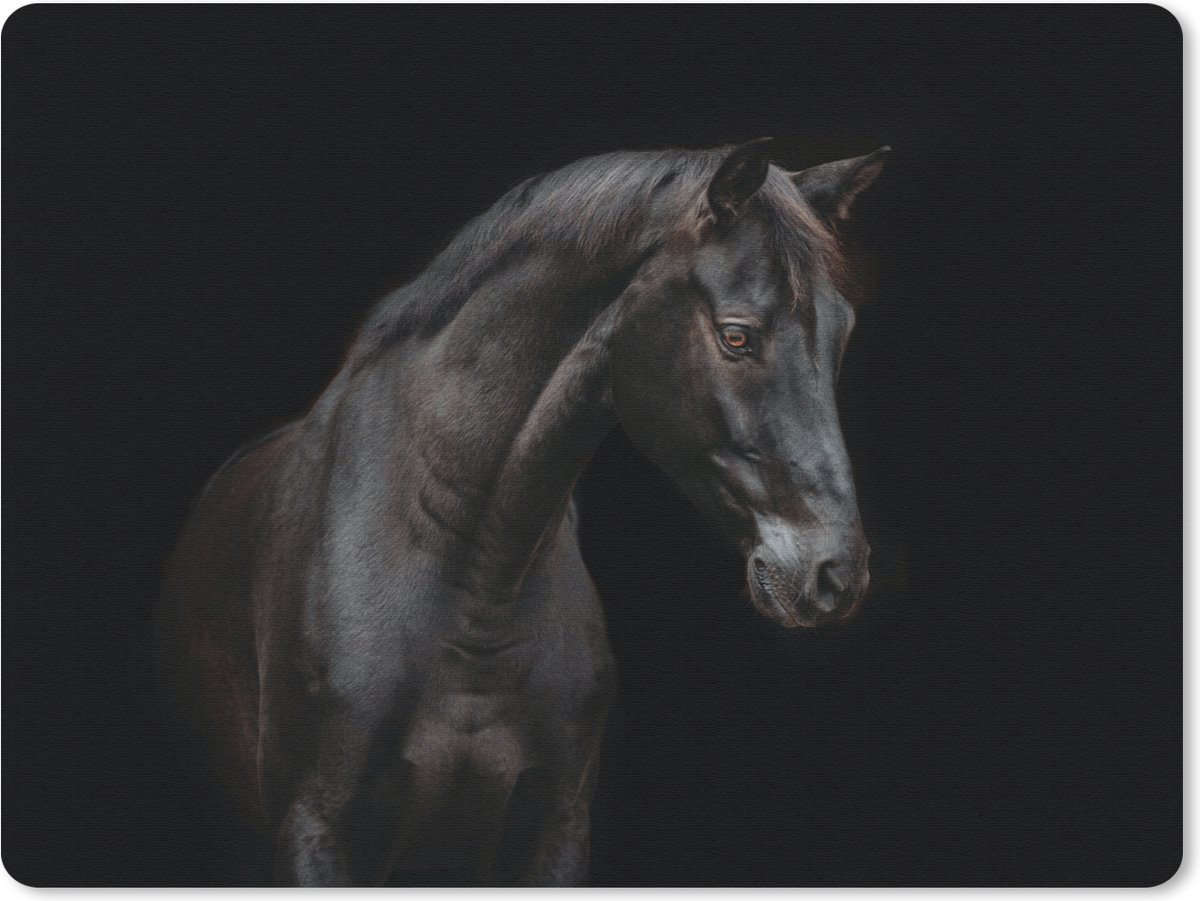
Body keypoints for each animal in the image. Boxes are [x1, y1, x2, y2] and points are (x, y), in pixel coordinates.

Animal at [156, 138, 889, 886]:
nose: (835, 573)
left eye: (843, 333)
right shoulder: (316, 829)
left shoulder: (554, 829)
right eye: (737, 336)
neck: (473, 582)